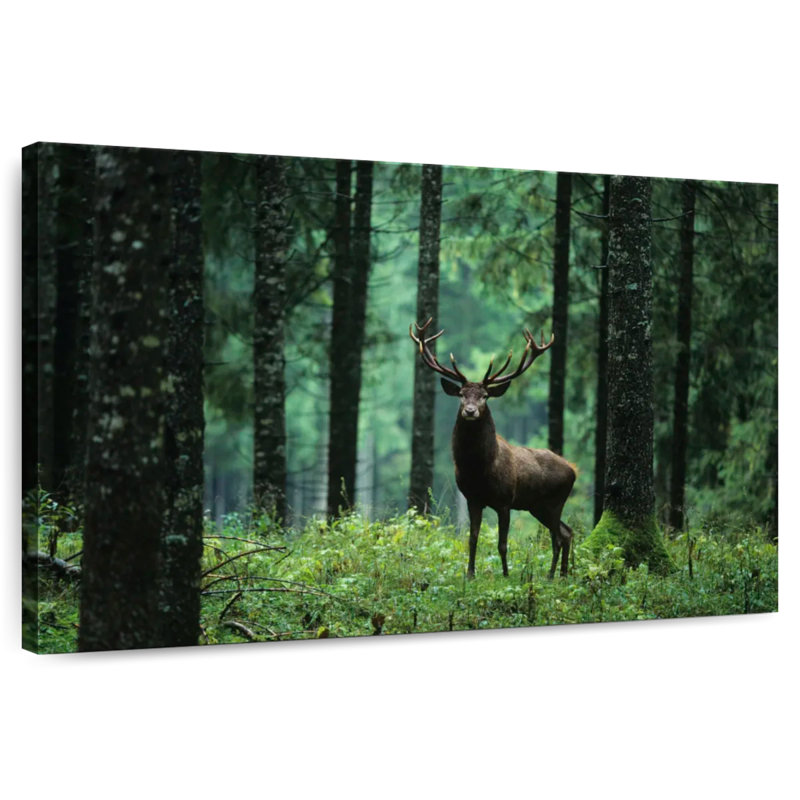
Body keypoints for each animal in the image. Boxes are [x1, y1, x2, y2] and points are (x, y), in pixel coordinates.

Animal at [410, 318, 576, 580]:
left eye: (485, 396)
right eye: (461, 394)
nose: (470, 411)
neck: (479, 469)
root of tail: (573, 470)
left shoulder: (505, 500)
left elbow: (502, 543)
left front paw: (506, 575)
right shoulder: (472, 499)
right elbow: (473, 538)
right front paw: (470, 574)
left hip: (554, 501)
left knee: (559, 536)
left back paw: (552, 575)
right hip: (537, 506)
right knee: (566, 532)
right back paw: (561, 575)